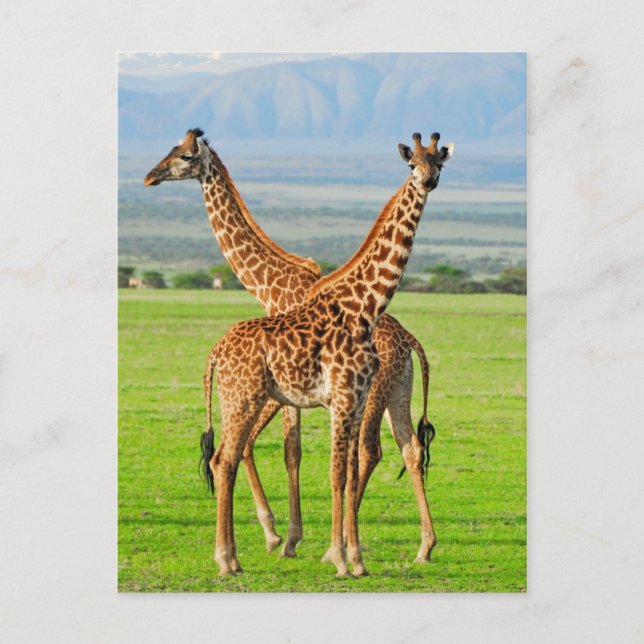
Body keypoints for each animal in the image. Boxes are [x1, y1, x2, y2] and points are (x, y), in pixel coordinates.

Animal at [148, 130, 453, 576]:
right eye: (412, 164)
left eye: (185, 155)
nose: (150, 176)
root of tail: (411, 340)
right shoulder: (313, 398)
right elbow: (298, 456)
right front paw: (301, 542)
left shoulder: (330, 398)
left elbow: (322, 464)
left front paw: (308, 544)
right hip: (377, 394)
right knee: (229, 457)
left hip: (384, 394)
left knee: (381, 451)